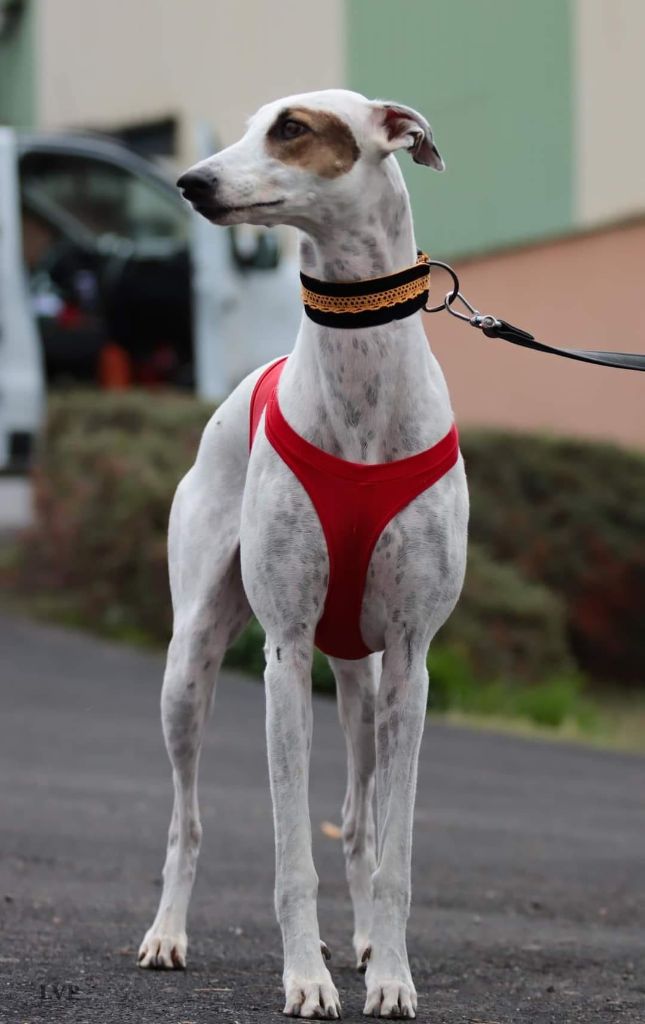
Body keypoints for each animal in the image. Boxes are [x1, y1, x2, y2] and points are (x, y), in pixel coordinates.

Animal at [138, 92, 470, 1019]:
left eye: (290, 127)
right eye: (247, 126)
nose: (191, 182)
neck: (359, 387)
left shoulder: (410, 665)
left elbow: (392, 855)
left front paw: (389, 975)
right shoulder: (283, 655)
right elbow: (291, 854)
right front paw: (304, 980)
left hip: (360, 685)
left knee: (356, 822)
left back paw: (358, 941)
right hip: (188, 670)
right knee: (185, 818)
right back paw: (168, 934)